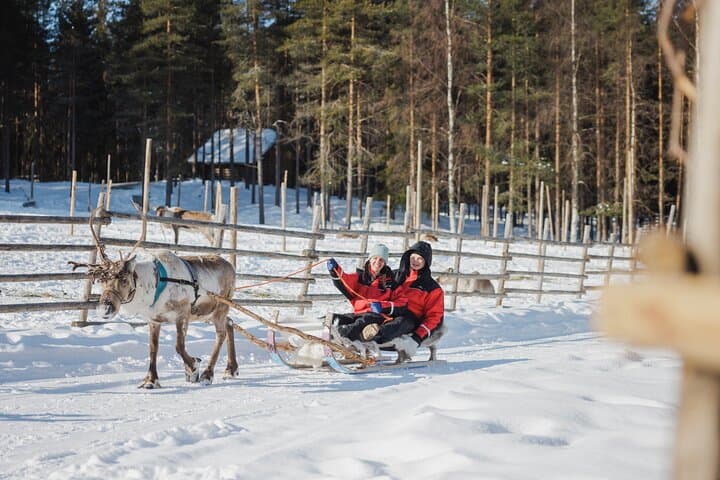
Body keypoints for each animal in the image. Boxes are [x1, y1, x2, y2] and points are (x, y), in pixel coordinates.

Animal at [71, 211, 239, 389]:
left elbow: (179, 346)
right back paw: (231, 369)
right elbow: (153, 348)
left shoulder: (182, 314)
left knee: (220, 334)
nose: (105, 308)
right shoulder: (154, 319)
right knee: (230, 322)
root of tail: (231, 266)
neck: (155, 284)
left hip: (220, 307)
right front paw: (151, 380)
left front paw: (194, 368)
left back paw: (207, 374)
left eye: (124, 279)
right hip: (208, 313)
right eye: (102, 279)